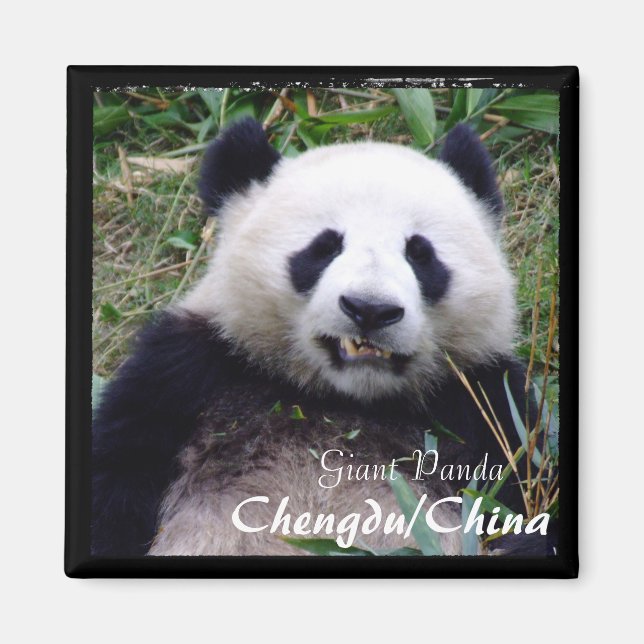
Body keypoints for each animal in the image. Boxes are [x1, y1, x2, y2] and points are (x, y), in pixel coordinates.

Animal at [92, 118, 553, 557]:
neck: (342, 399)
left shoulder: (484, 401)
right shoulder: (187, 370)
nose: (370, 309)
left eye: (421, 254)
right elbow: (117, 480)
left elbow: (529, 488)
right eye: (325, 246)